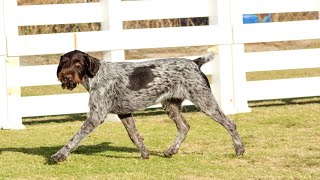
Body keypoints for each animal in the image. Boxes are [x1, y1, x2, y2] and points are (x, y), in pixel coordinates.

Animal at [51, 49, 244, 162]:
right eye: (64, 63)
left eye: (78, 64)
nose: (65, 76)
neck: (96, 76)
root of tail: (195, 63)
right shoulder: (124, 113)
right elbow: (135, 136)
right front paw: (145, 153)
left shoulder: (95, 117)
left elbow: (75, 138)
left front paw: (59, 155)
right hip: (170, 105)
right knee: (184, 127)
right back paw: (171, 150)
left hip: (204, 101)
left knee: (230, 123)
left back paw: (239, 149)